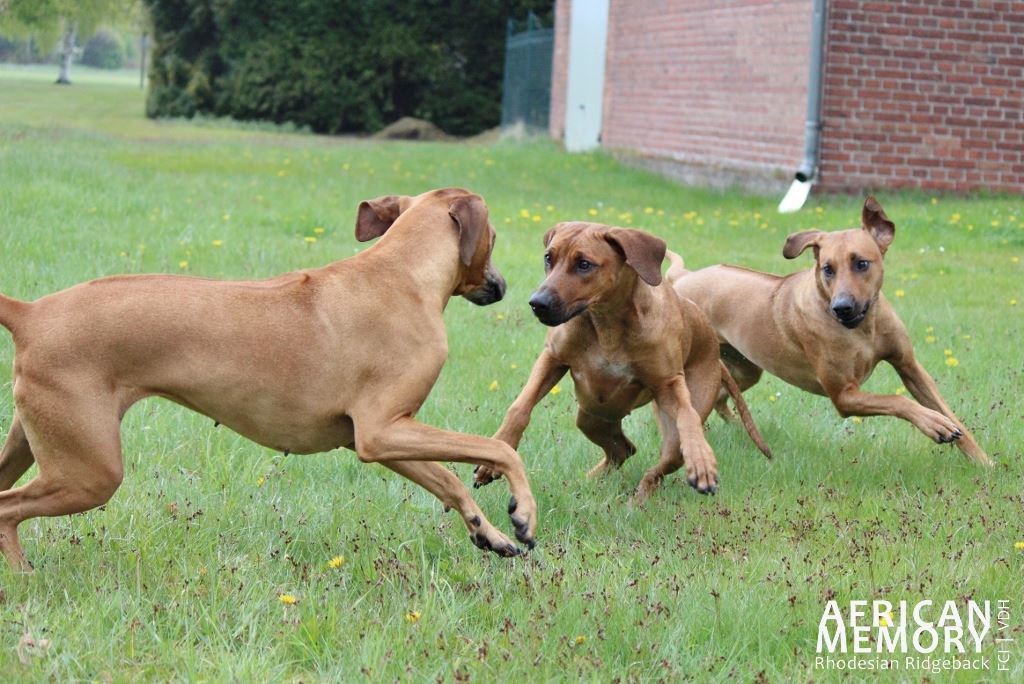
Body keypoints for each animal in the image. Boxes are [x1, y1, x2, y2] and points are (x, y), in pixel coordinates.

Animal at [0, 187, 538, 570]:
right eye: (494, 238)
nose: (506, 287)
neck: (401, 275)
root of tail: (32, 314)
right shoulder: (383, 429)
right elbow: (497, 448)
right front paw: (523, 513)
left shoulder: (385, 438)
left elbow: (448, 481)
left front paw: (489, 534)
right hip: (90, 472)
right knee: (7, 507)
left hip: (38, 442)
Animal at [473, 222, 771, 502]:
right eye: (548, 258)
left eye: (584, 264)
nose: (537, 303)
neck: (607, 323)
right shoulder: (552, 359)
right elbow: (520, 407)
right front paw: (495, 456)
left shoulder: (669, 383)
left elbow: (688, 416)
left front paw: (701, 459)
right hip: (591, 415)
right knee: (624, 450)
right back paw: (589, 481)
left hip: (672, 427)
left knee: (658, 465)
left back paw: (638, 499)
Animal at [669, 196, 990, 465]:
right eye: (827, 269)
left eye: (861, 263)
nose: (842, 307)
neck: (864, 329)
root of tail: (684, 276)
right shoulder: (844, 395)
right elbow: (896, 399)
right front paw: (933, 424)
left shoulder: (909, 366)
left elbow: (948, 412)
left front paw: (982, 461)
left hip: (744, 368)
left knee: (721, 396)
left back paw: (737, 430)